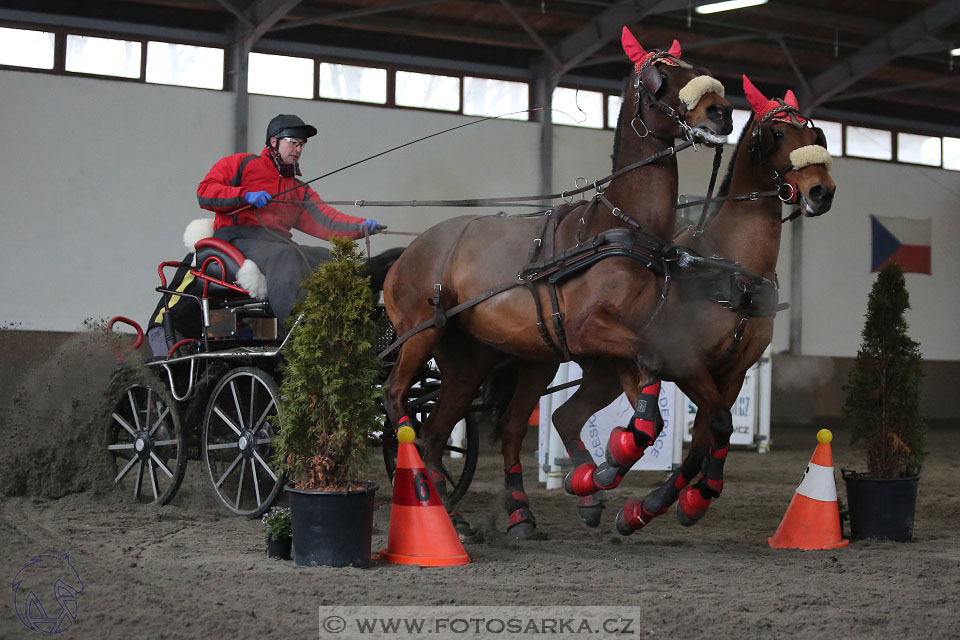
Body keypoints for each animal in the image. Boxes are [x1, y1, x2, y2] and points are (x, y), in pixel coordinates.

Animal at [380, 30, 728, 536]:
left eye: (697, 68)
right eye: (659, 75)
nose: (722, 112)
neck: (622, 228)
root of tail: (406, 252)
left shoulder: (621, 348)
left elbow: (647, 411)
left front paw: (601, 475)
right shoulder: (592, 331)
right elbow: (647, 383)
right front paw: (601, 472)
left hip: (477, 361)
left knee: (442, 430)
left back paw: (476, 513)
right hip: (421, 334)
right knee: (398, 401)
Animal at [560, 76, 836, 536]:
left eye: (817, 138)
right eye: (778, 134)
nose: (822, 191)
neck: (735, 268)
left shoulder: (735, 372)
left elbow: (709, 434)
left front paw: (662, 503)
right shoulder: (687, 362)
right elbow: (718, 423)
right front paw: (682, 495)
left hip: (604, 373)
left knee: (566, 415)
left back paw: (588, 489)